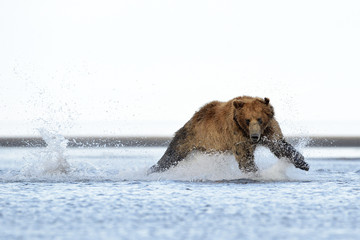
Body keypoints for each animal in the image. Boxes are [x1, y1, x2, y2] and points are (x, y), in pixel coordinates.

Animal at [148, 96, 308, 173]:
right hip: (192, 136)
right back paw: (152, 169)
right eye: (247, 120)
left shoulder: (269, 129)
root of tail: (196, 115)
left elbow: (279, 146)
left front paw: (303, 163)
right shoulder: (236, 132)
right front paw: (255, 172)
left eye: (260, 119)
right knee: (172, 154)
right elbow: (244, 155)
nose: (255, 137)